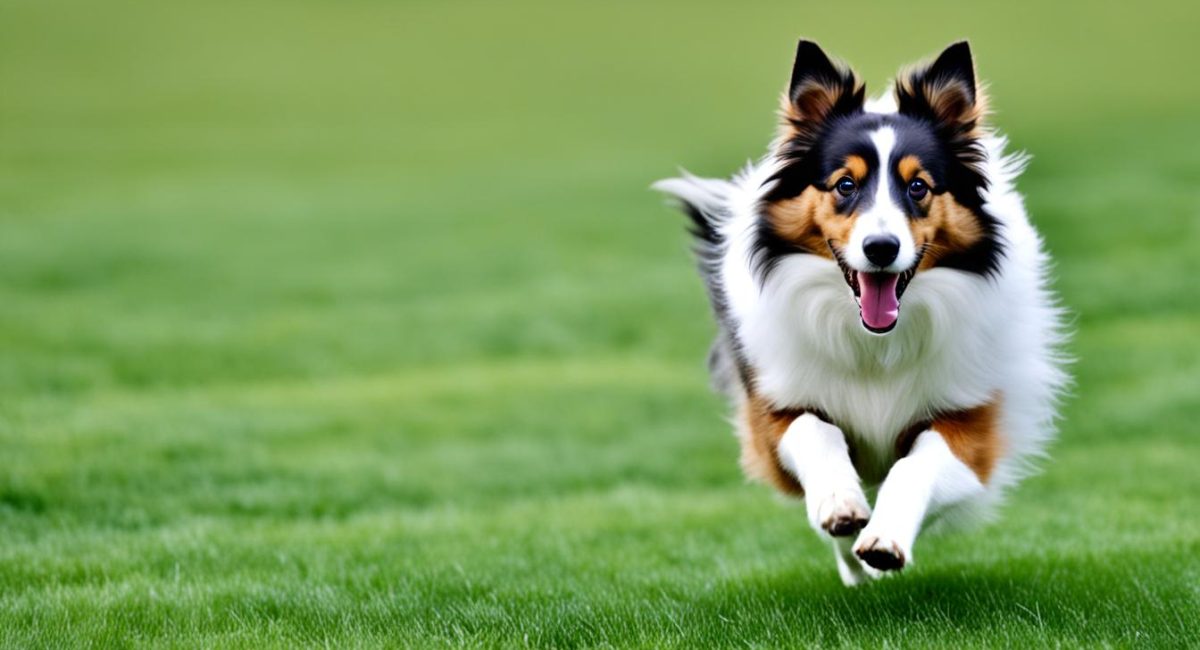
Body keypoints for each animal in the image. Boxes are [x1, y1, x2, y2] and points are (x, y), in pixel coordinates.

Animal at [657, 41, 1070, 590]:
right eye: (845, 184)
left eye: (919, 187)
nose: (880, 248)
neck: (874, 340)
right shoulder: (773, 414)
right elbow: (817, 432)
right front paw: (840, 507)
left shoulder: (970, 423)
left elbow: (913, 467)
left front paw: (884, 539)